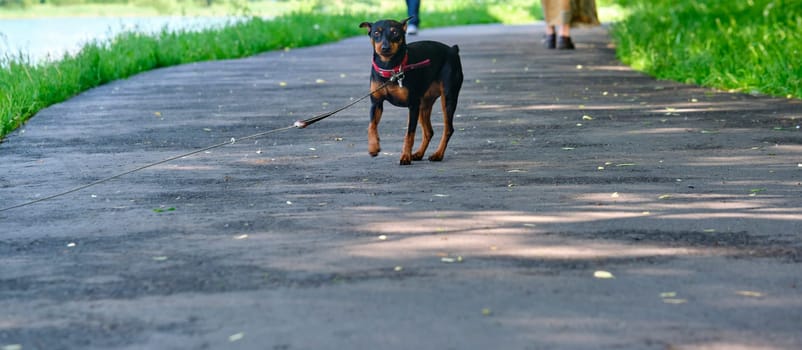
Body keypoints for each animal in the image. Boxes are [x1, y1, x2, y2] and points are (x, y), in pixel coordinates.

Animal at [358, 16, 462, 164]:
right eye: (376, 33)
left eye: (395, 32)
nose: (385, 47)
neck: (390, 68)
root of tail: (452, 50)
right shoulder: (376, 103)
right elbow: (371, 126)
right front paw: (373, 147)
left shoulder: (412, 105)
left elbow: (410, 134)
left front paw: (405, 156)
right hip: (424, 104)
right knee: (429, 131)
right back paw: (418, 154)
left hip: (448, 98)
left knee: (448, 128)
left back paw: (438, 154)